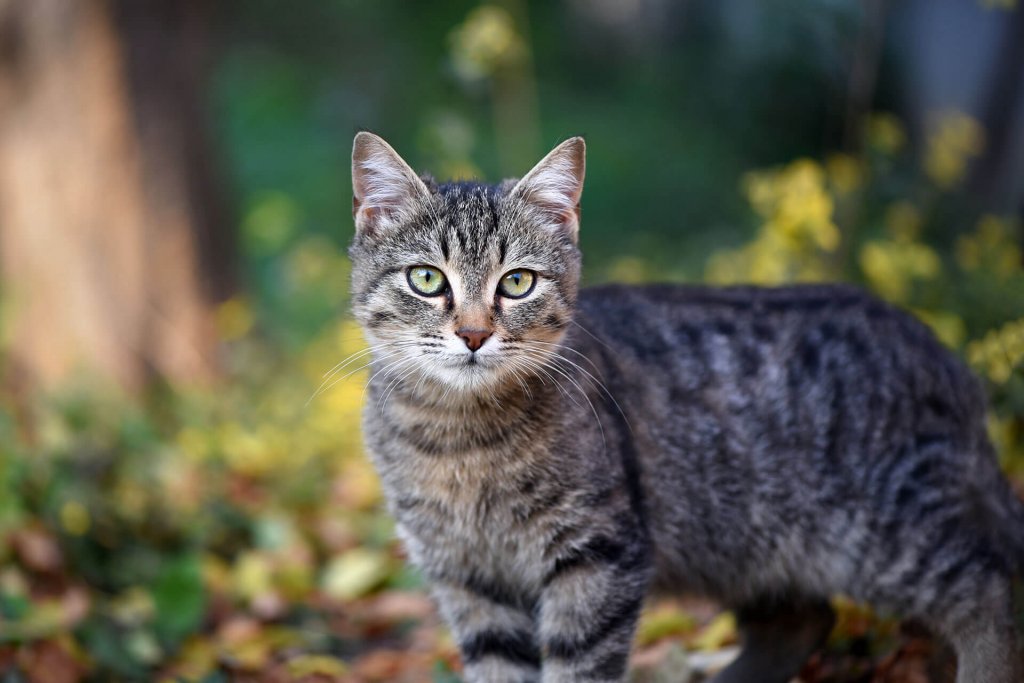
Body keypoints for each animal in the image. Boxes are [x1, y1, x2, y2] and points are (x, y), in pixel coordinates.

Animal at [346, 129, 1024, 683]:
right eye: (427, 279)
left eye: (517, 282)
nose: (474, 334)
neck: (458, 438)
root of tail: (948, 357)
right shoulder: (466, 580)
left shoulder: (597, 554)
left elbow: (578, 666)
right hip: (744, 541)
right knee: (803, 621)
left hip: (885, 533)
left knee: (992, 591)